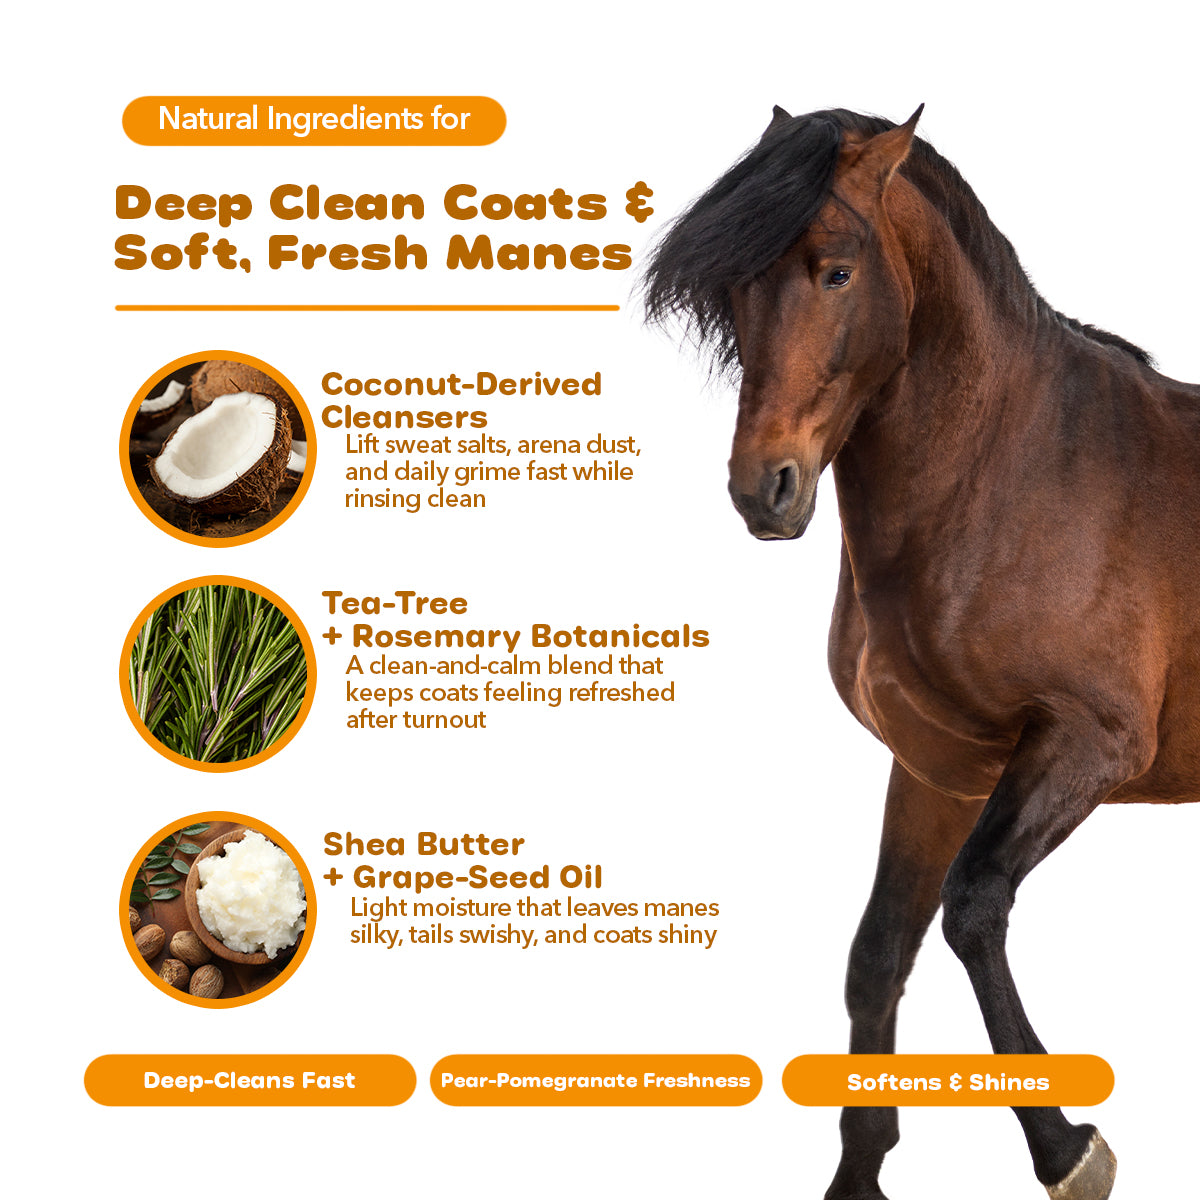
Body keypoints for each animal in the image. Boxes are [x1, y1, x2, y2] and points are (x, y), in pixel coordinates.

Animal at [644, 105, 1200, 1200]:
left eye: (837, 270)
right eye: (733, 289)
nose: (763, 488)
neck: (1013, 473)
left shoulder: (1087, 746)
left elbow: (971, 910)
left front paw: (1067, 1150)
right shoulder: (940, 767)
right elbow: (878, 953)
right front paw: (859, 1175)